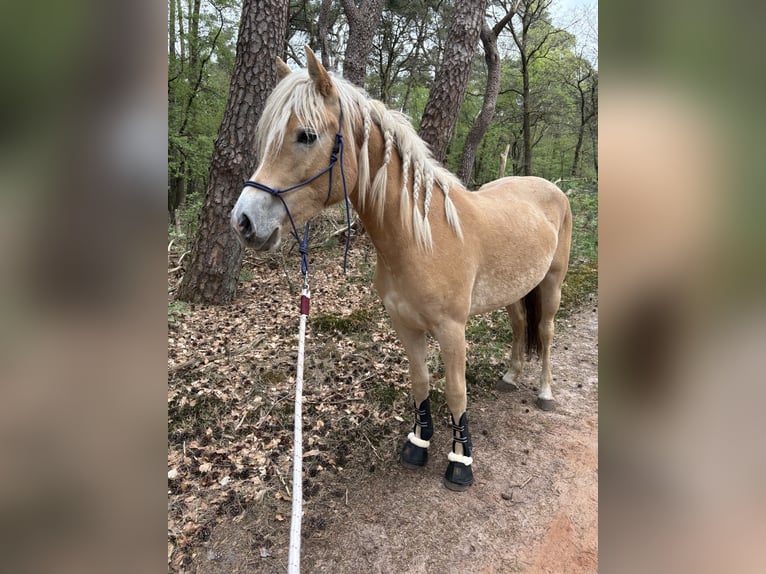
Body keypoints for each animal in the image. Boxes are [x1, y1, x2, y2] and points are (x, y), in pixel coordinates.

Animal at [231, 47, 572, 491]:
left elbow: (457, 392)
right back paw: (511, 377)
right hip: (516, 290)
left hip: (551, 286)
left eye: (306, 135)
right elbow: (420, 380)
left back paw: (545, 393)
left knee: (545, 333)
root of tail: (551, 187)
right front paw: (419, 443)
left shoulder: (451, 329)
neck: (421, 237)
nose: (243, 221)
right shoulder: (405, 324)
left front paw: (461, 461)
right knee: (518, 327)